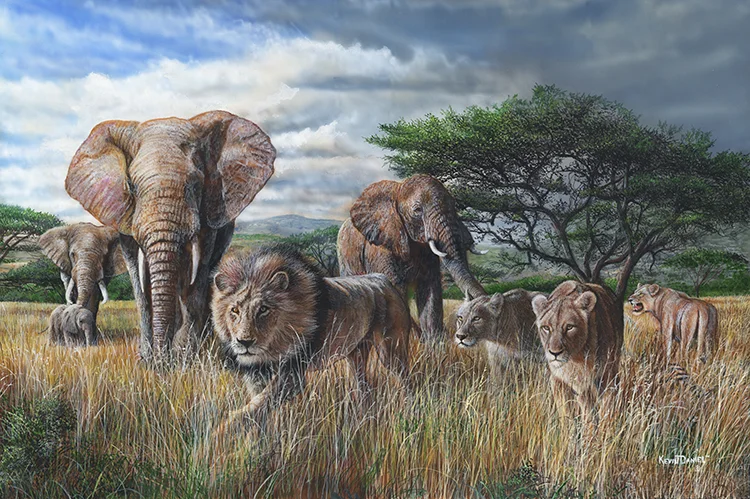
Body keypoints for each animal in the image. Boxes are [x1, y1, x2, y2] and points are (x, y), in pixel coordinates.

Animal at [64, 110, 276, 364]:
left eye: (195, 185)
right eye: (132, 187)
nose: (161, 361)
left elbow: (197, 273)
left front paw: (186, 358)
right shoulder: (124, 215)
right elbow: (138, 278)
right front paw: (147, 359)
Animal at [337, 174, 487, 342]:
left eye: (454, 206)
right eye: (417, 210)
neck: (397, 188)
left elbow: (430, 289)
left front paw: (433, 345)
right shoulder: (378, 247)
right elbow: (394, 286)